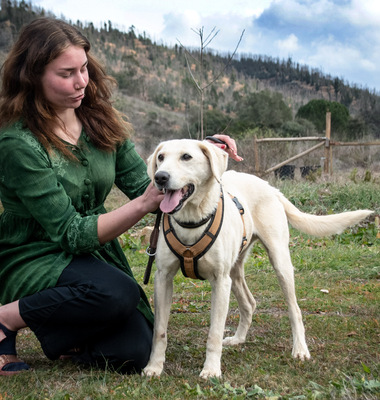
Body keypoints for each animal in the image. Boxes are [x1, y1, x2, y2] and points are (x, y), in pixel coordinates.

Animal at [142, 139, 372, 380]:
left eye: (186, 157)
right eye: (161, 158)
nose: (160, 177)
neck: (192, 219)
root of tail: (270, 187)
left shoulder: (220, 281)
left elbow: (214, 333)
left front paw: (211, 369)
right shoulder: (163, 278)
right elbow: (159, 331)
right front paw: (154, 366)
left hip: (279, 263)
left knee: (294, 309)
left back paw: (300, 349)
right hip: (235, 272)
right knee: (249, 304)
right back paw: (238, 339)